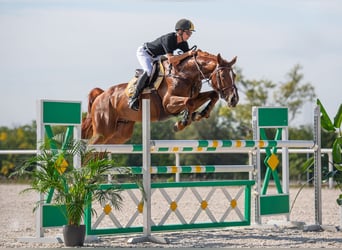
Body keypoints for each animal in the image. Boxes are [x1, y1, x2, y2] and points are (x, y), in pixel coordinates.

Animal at [82, 49, 239, 144]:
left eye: (234, 75)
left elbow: (212, 95)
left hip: (119, 134)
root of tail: (101, 95)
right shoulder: (168, 103)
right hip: (103, 131)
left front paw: (200, 114)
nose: (234, 99)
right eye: (223, 76)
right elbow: (189, 102)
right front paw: (181, 123)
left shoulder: (195, 97)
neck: (185, 75)